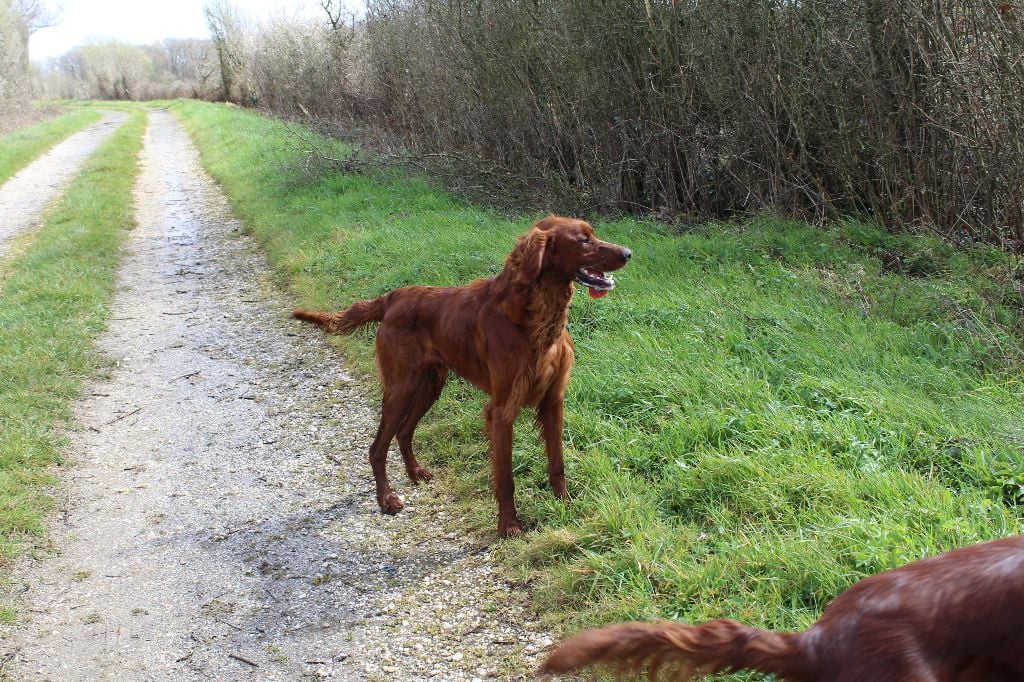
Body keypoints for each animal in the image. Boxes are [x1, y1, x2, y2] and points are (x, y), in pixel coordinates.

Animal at [292, 218, 626, 536]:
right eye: (584, 241)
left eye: (592, 233)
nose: (627, 253)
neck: (535, 317)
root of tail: (393, 297)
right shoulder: (502, 411)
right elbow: (505, 477)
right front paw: (508, 526)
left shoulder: (553, 401)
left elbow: (557, 462)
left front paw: (565, 505)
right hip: (401, 387)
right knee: (377, 448)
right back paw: (386, 499)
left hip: (430, 385)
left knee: (404, 432)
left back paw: (415, 473)